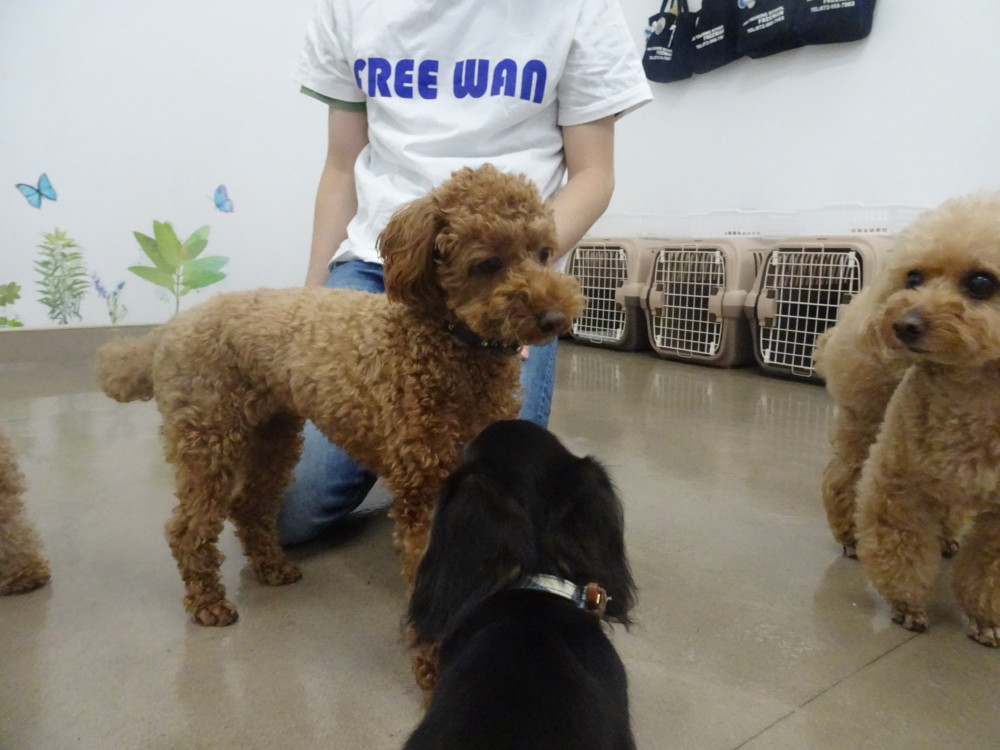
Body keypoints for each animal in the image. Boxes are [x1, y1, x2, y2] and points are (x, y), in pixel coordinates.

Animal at [95, 164, 584, 642]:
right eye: (488, 263)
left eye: (544, 253)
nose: (554, 318)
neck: (448, 345)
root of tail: (168, 330)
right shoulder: (423, 486)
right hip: (208, 437)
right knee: (187, 528)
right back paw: (207, 603)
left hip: (272, 434)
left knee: (250, 505)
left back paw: (271, 568)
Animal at [817, 193, 1000, 645]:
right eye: (914, 277)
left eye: (982, 283)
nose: (904, 324)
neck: (969, 391)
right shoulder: (896, 485)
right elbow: (901, 542)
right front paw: (908, 605)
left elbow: (989, 565)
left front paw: (986, 619)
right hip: (863, 420)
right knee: (843, 479)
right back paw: (849, 536)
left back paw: (948, 538)